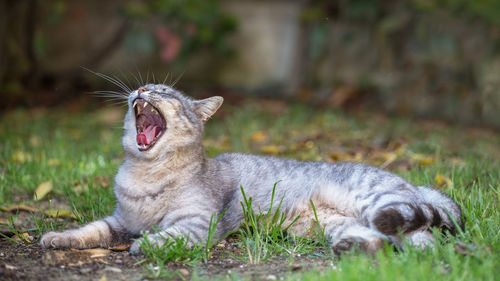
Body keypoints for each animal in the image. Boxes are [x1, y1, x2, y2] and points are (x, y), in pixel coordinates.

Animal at [40, 83, 464, 254]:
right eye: (145, 86)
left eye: (164, 92)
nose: (142, 90)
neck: (146, 173)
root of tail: (412, 184)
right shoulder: (120, 221)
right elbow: (91, 230)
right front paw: (57, 238)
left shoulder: (197, 223)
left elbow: (168, 235)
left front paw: (146, 245)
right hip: (341, 222)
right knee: (387, 237)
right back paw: (356, 249)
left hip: (378, 201)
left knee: (422, 237)